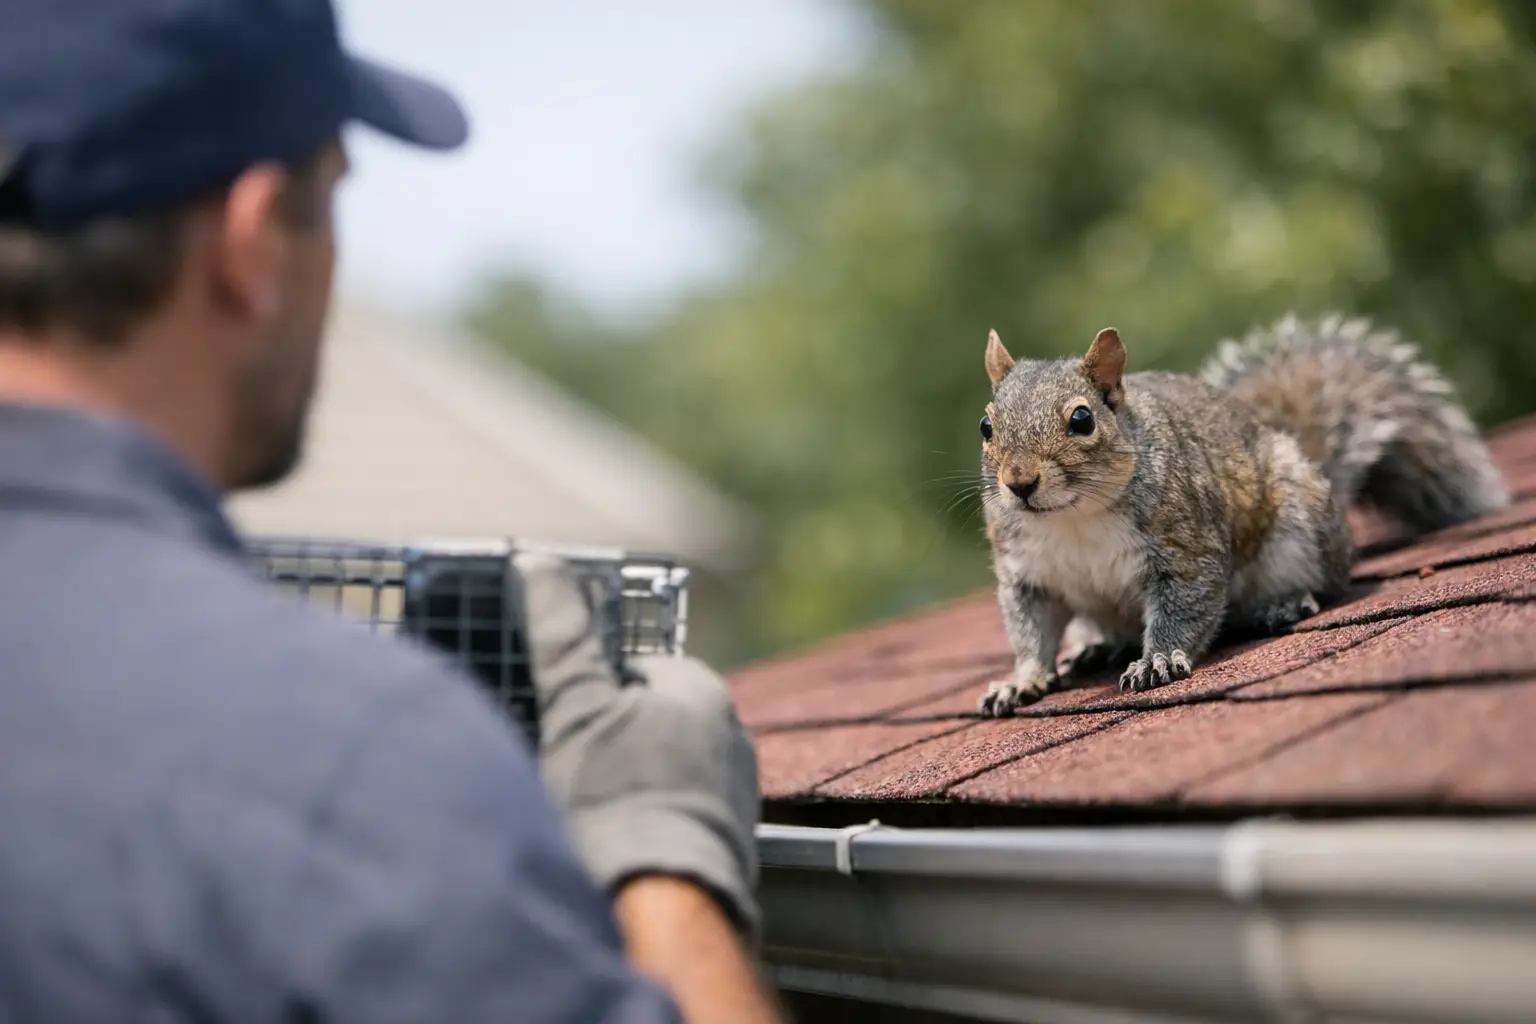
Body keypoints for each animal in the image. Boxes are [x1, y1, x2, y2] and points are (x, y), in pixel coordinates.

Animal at [976, 313, 1509, 717]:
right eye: (985, 426)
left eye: (1082, 420)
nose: (1019, 483)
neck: (1072, 518)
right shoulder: (1026, 575)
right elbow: (1031, 632)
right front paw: (1021, 681)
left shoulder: (1185, 546)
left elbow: (1184, 605)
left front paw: (1157, 660)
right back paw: (1095, 648)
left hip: (1300, 532)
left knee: (1322, 582)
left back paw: (1287, 602)